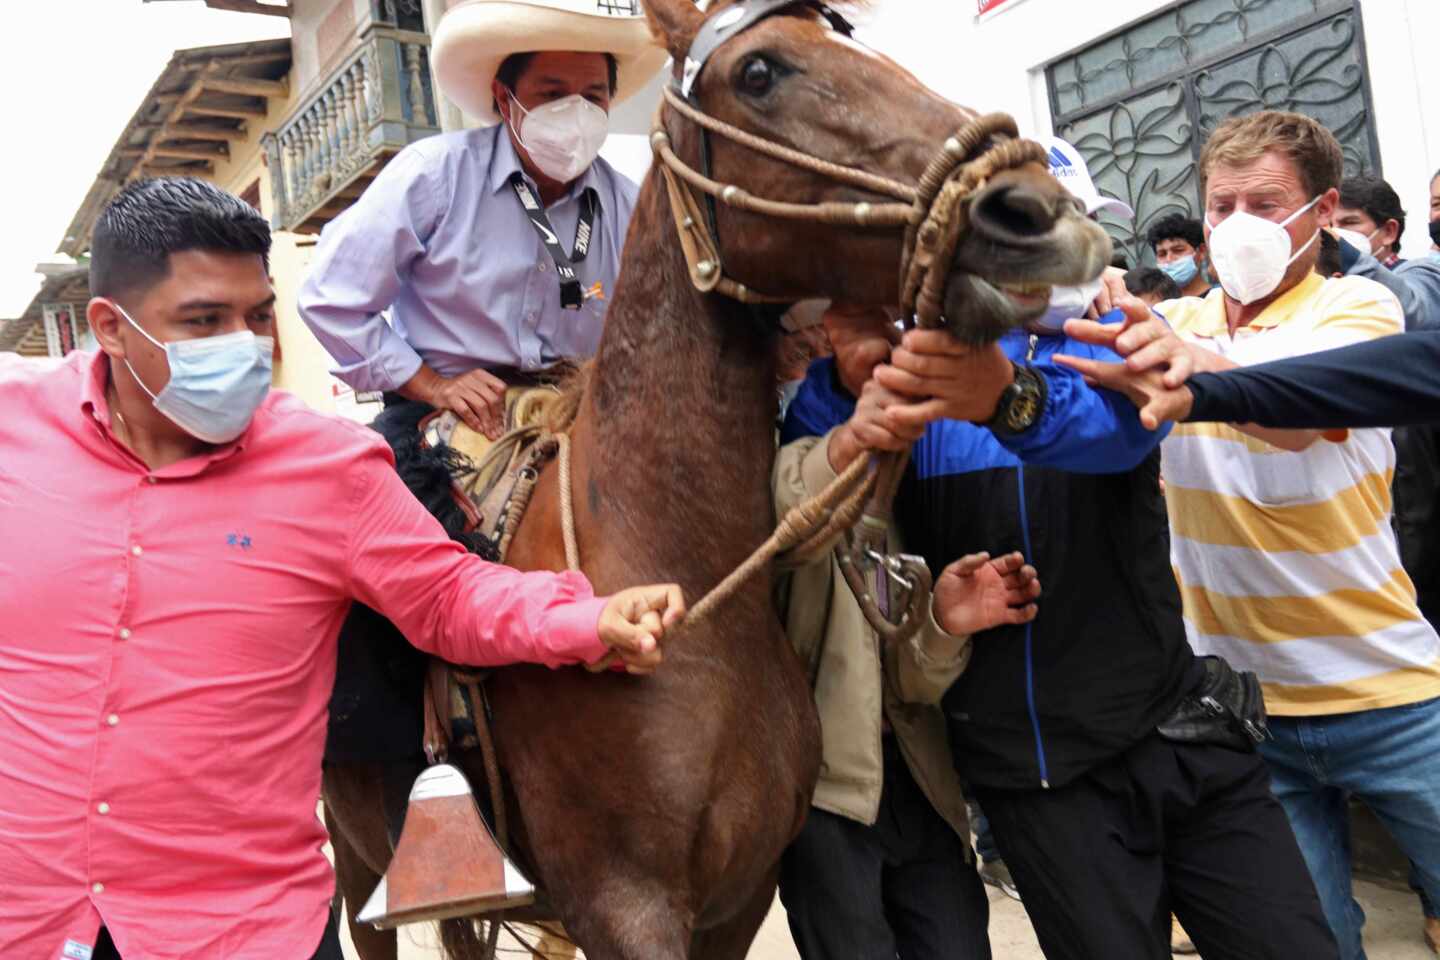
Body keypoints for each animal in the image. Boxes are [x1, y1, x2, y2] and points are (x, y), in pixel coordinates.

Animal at [329, 1, 1111, 960]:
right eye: (760, 72)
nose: (1035, 208)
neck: (673, 567)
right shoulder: (626, 908)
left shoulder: (739, 899)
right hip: (362, 864)